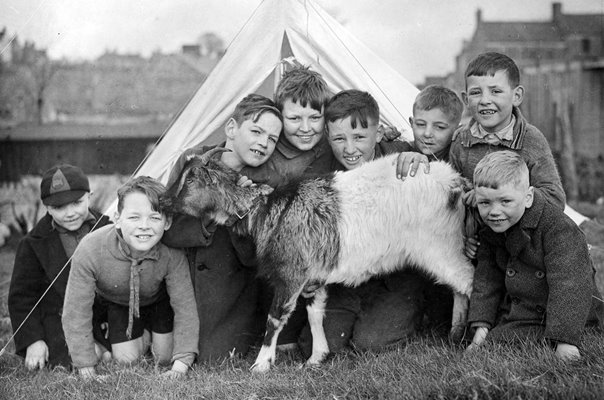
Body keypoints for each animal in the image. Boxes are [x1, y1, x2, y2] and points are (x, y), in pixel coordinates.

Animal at [166, 148, 476, 374]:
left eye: (189, 180)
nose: (164, 201)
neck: (269, 210)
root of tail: (455, 182)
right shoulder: (313, 277)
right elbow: (315, 313)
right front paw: (317, 357)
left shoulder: (291, 274)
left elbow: (274, 318)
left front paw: (261, 363)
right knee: (460, 286)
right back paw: (455, 333)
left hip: (440, 245)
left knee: (469, 281)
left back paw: (474, 342)